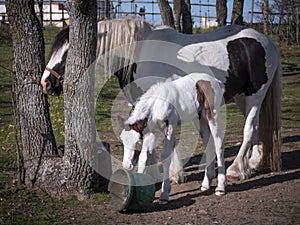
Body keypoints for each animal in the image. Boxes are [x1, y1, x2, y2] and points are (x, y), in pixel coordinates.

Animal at [41, 17, 282, 185]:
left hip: (254, 95)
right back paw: (253, 163)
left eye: (68, 52)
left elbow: (167, 139)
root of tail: (267, 41)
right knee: (257, 127)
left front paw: (174, 174)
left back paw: (236, 169)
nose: (46, 83)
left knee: (249, 129)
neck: (139, 53)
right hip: (242, 98)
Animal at [119, 73, 225, 203]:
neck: (156, 105)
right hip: (200, 118)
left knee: (218, 142)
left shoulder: (170, 126)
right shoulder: (152, 132)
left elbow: (165, 156)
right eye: (122, 142)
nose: (126, 165)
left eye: (138, 142)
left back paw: (220, 187)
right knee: (208, 143)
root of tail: (214, 80)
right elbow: (144, 157)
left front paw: (164, 193)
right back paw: (206, 183)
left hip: (212, 114)